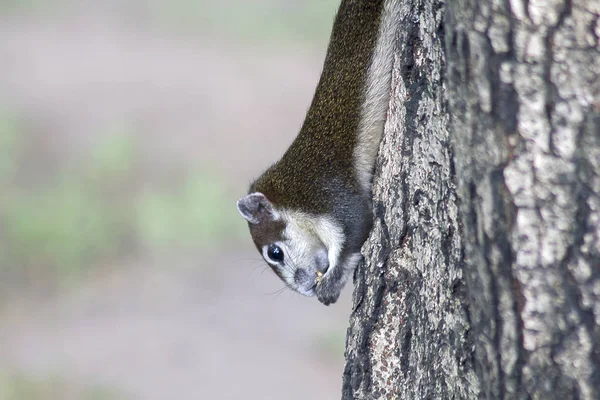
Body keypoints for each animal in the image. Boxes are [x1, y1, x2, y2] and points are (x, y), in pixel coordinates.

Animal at [236, 0, 398, 304]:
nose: (307, 289)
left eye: (275, 253)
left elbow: (357, 224)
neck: (289, 190)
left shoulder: (326, 193)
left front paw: (331, 284)